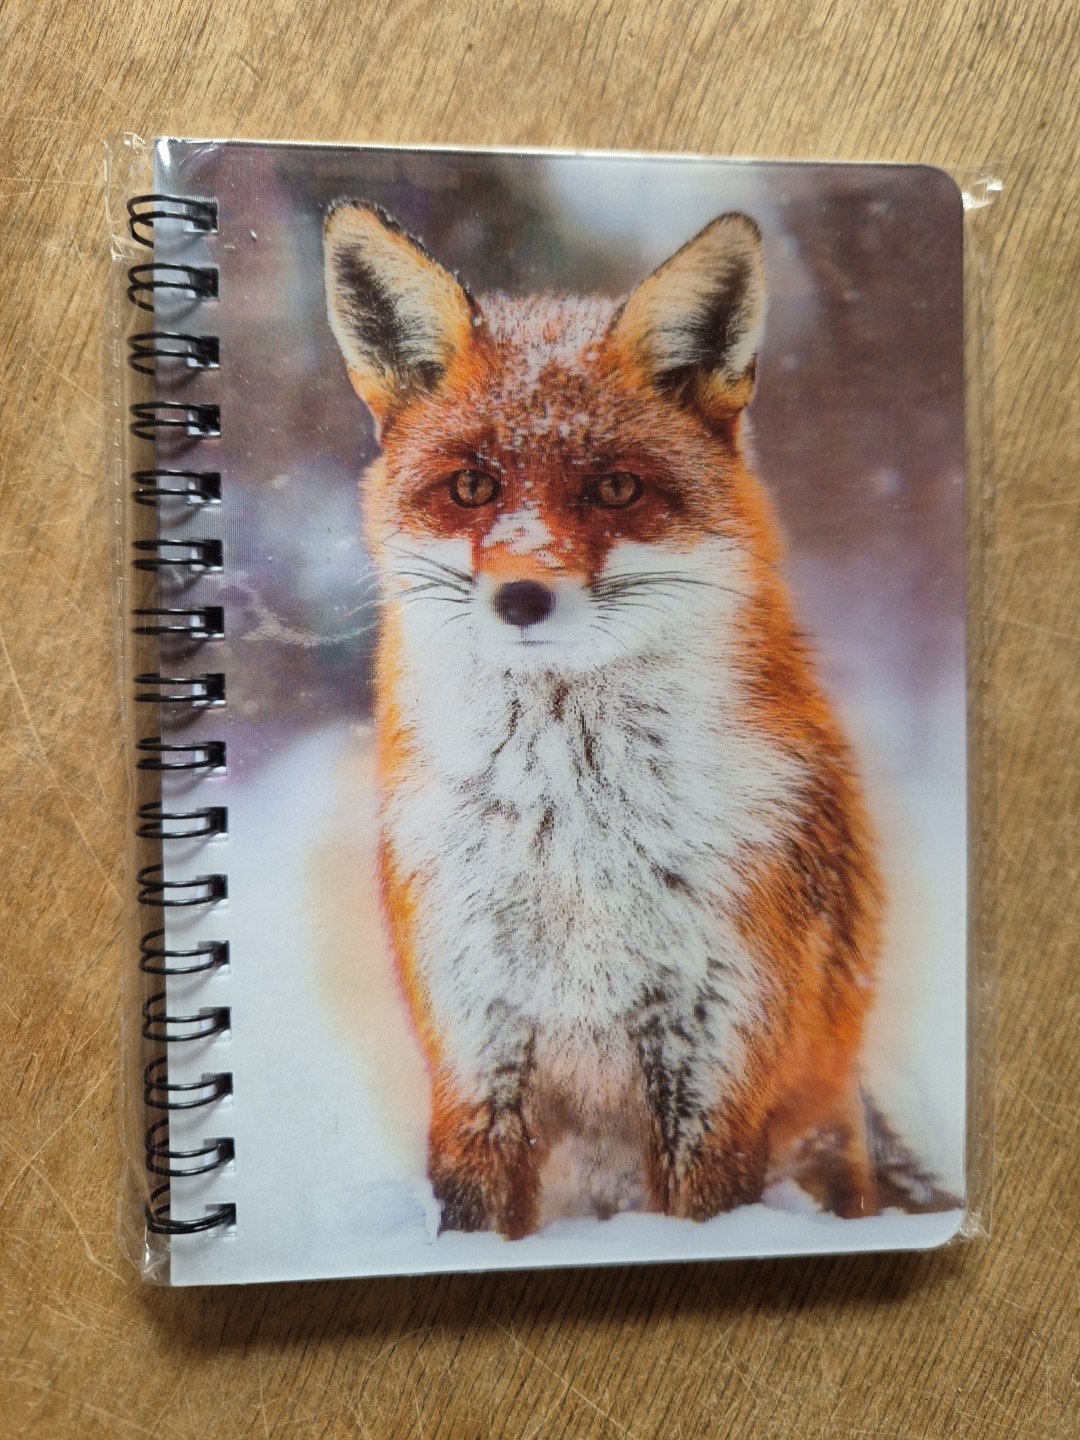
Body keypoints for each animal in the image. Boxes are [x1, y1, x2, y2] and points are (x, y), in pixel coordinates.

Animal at [324, 201, 891, 1240]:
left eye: (616, 489)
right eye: (473, 487)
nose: (522, 598)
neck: (574, 835)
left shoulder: (714, 1053)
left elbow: (705, 1215)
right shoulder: (477, 1044)